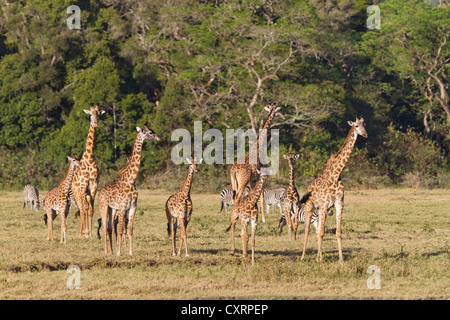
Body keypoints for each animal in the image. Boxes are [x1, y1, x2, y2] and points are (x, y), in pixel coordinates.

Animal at [98, 125, 162, 255]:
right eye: (150, 132)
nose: (159, 138)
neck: (131, 181)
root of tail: (100, 192)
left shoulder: (132, 207)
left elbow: (130, 230)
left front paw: (130, 252)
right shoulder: (122, 207)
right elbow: (121, 230)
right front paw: (119, 253)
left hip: (111, 209)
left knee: (110, 227)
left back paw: (111, 251)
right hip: (104, 206)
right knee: (105, 227)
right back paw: (107, 251)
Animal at [300, 116, 368, 264]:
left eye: (364, 125)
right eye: (356, 126)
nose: (365, 134)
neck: (336, 174)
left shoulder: (339, 203)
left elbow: (337, 232)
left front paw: (341, 259)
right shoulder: (326, 203)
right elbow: (321, 232)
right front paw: (320, 260)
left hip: (319, 209)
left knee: (317, 231)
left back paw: (318, 256)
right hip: (309, 207)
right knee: (307, 230)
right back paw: (303, 256)